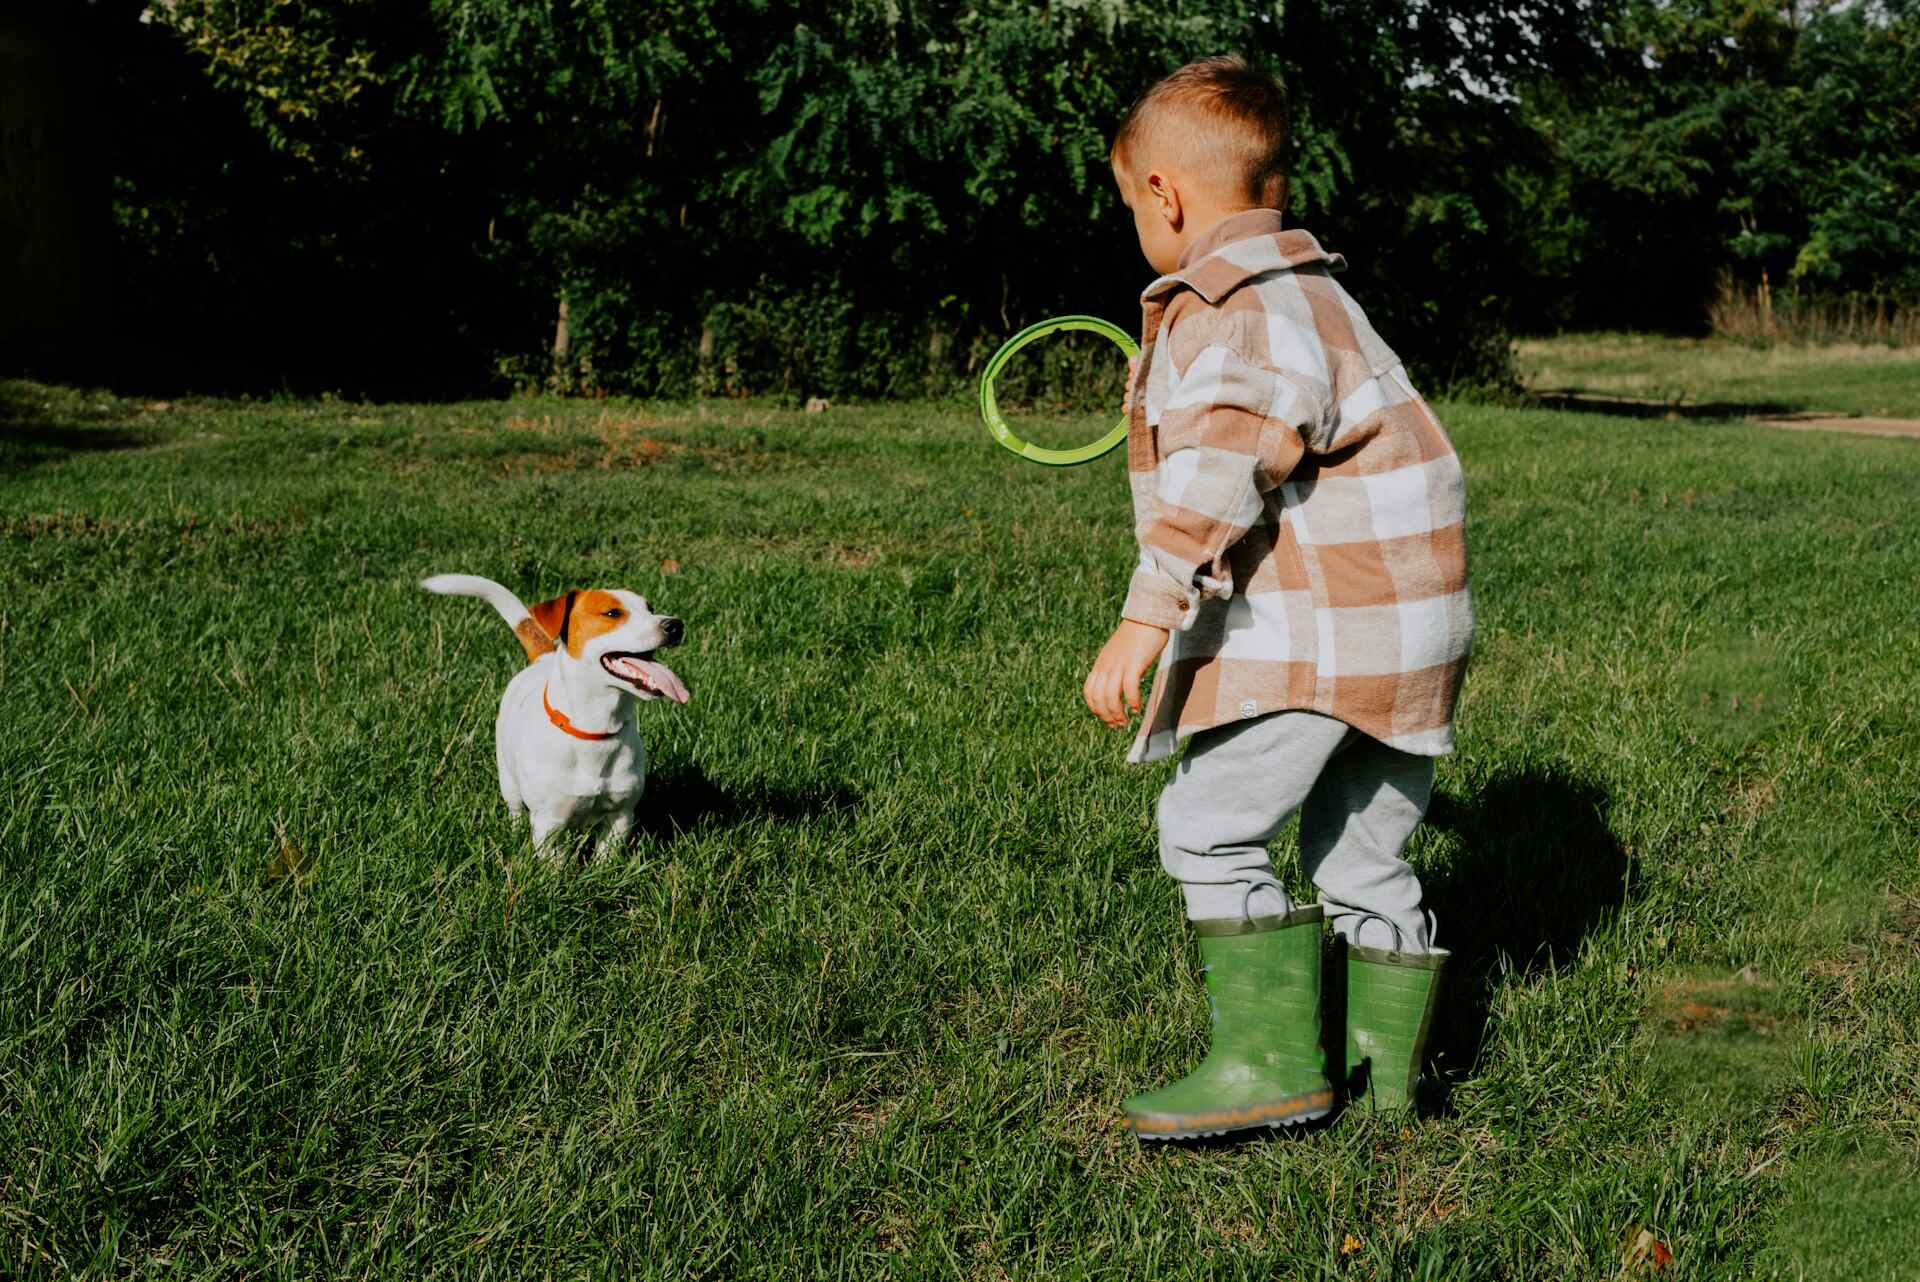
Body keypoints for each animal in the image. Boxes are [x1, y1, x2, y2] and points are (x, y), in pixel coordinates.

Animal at [426, 571, 691, 855]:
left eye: (650, 608)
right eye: (612, 613)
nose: (676, 625)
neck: (595, 730)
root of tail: (544, 659)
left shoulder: (620, 815)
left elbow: (606, 857)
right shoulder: (549, 822)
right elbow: (554, 861)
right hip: (508, 779)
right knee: (515, 809)